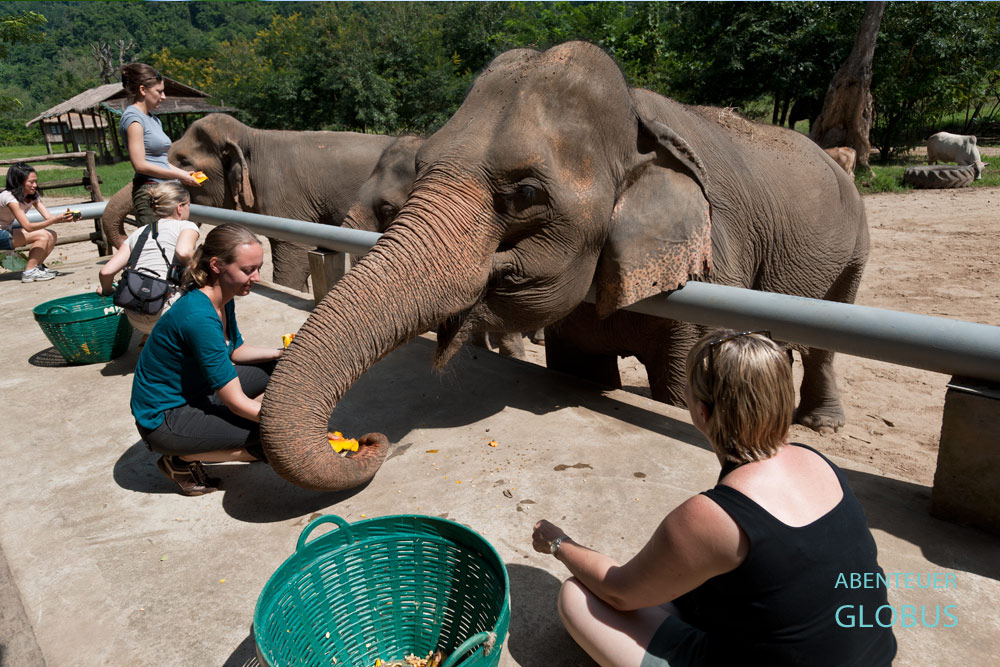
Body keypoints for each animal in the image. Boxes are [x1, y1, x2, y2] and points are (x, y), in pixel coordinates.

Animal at [259, 41, 868, 491]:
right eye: (423, 167)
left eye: (526, 193)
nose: (367, 441)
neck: (638, 117)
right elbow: (581, 371)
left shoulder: (714, 265)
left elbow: (679, 392)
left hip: (855, 248)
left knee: (830, 332)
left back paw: (823, 423)